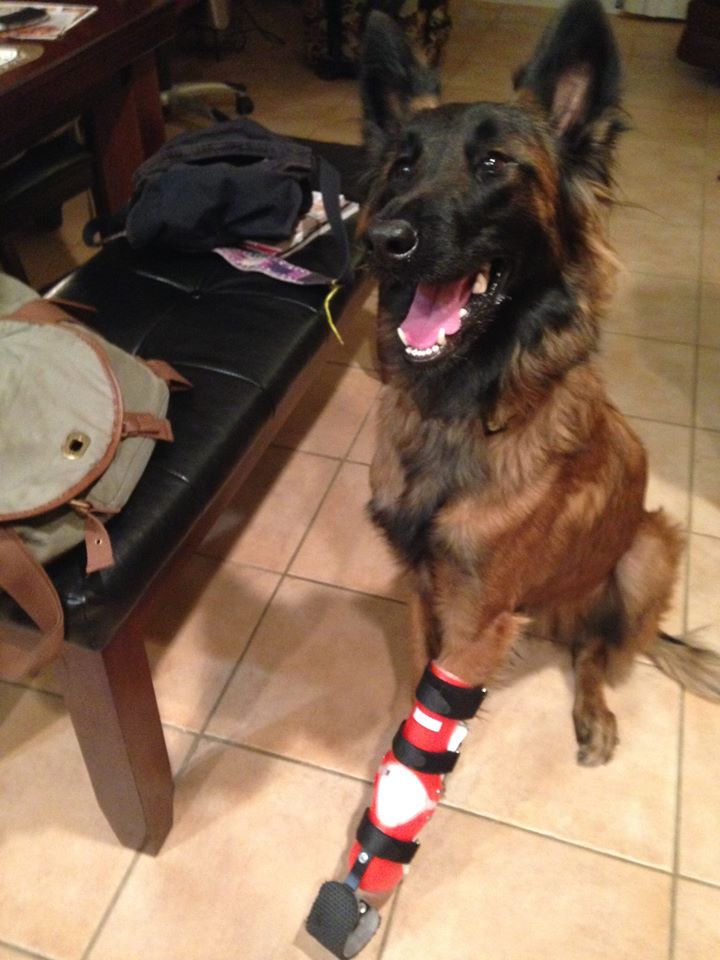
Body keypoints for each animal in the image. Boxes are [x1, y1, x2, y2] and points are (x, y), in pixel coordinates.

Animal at [360, 0, 720, 764]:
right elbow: (419, 676)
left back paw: (595, 711)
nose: (383, 240)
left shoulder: (479, 614)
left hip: (648, 549)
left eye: (494, 163)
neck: (457, 412)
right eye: (402, 164)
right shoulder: (422, 585)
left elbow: (435, 713)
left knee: (596, 651)